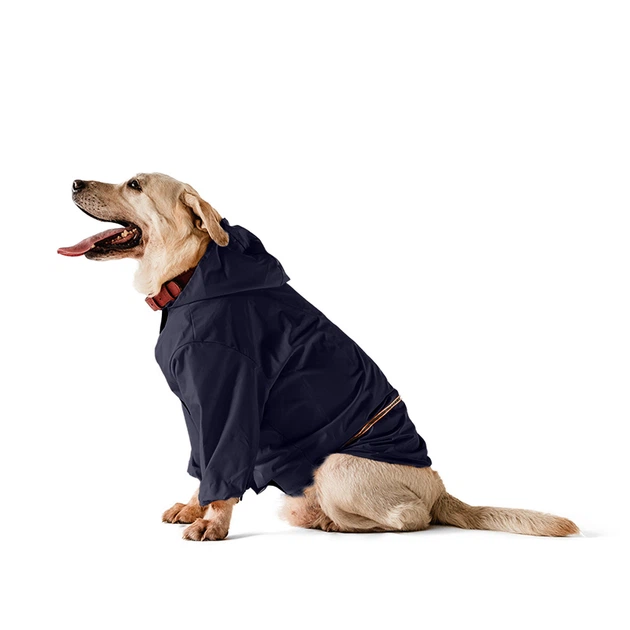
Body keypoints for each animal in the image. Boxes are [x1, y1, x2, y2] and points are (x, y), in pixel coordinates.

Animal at [58, 173, 579, 540]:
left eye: (135, 184)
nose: (75, 181)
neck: (190, 277)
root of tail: (442, 490)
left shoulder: (229, 395)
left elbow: (222, 466)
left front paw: (214, 523)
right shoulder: (197, 407)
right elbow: (202, 463)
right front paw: (193, 506)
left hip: (336, 466)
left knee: (412, 518)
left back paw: (336, 522)